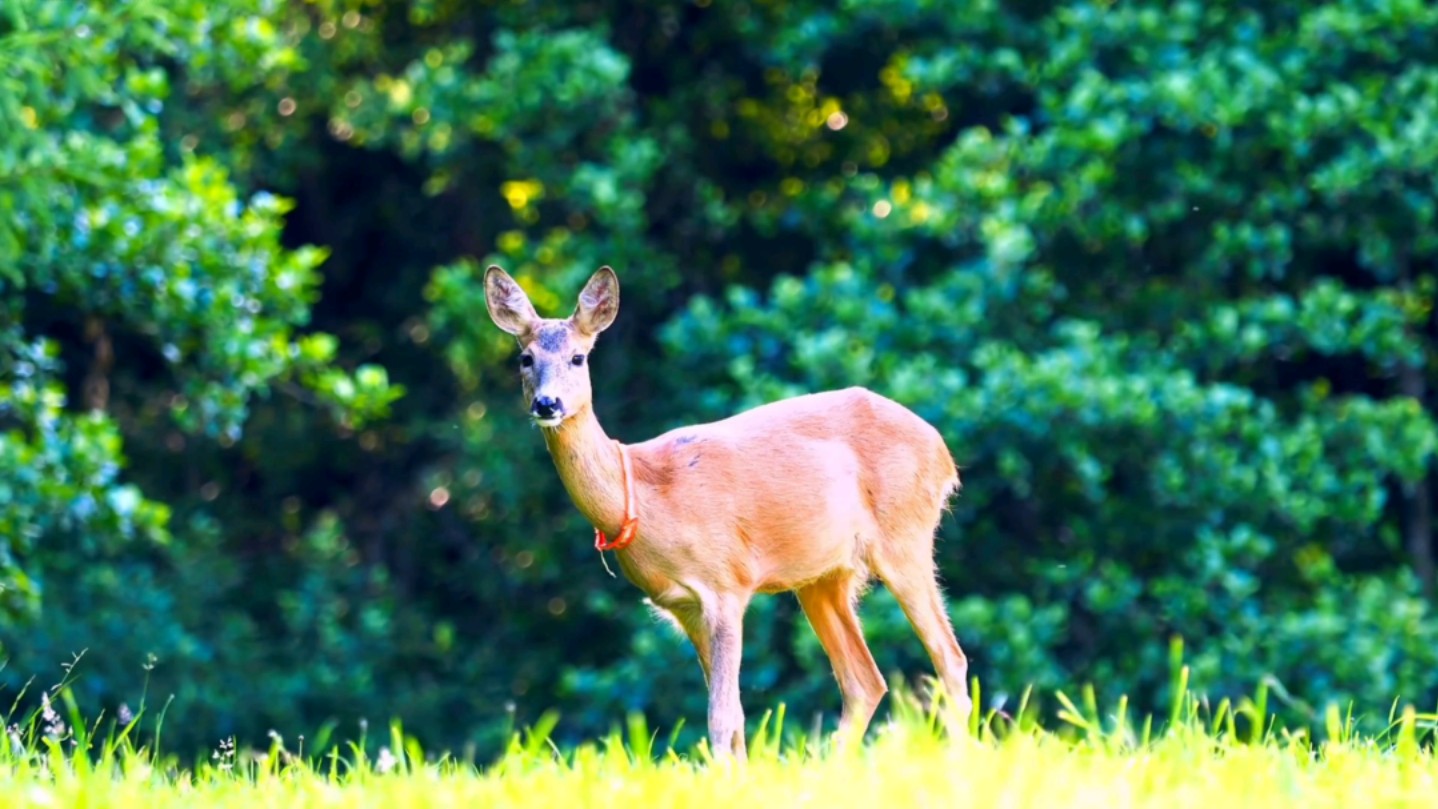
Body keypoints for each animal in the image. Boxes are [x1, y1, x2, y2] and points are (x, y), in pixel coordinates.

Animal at [486, 264, 977, 758]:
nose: (547, 404)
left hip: (904, 534)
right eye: (525, 358)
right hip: (824, 576)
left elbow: (722, 715)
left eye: (578, 358)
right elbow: (737, 716)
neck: (643, 495)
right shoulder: (683, 606)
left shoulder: (725, 584)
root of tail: (942, 451)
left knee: (949, 656)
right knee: (865, 680)